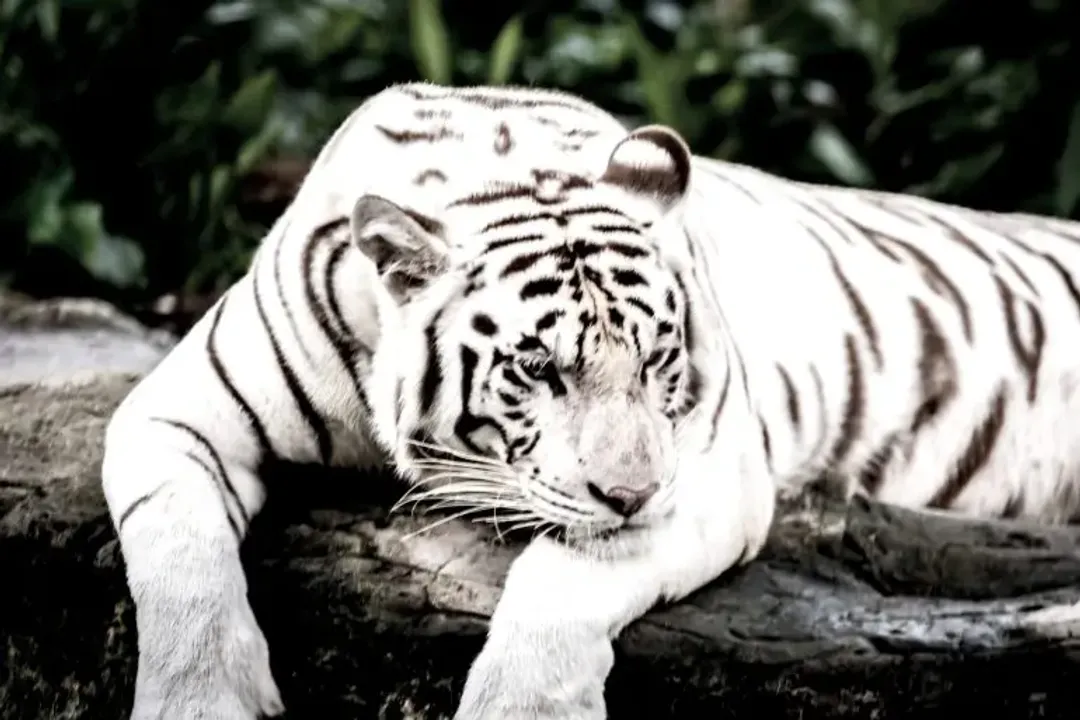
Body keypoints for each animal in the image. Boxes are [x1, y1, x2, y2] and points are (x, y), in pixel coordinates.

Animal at [100, 81, 1080, 720]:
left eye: (657, 360)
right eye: (539, 369)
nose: (631, 493)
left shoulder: (712, 470)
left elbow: (565, 580)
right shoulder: (174, 411)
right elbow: (178, 555)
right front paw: (199, 702)